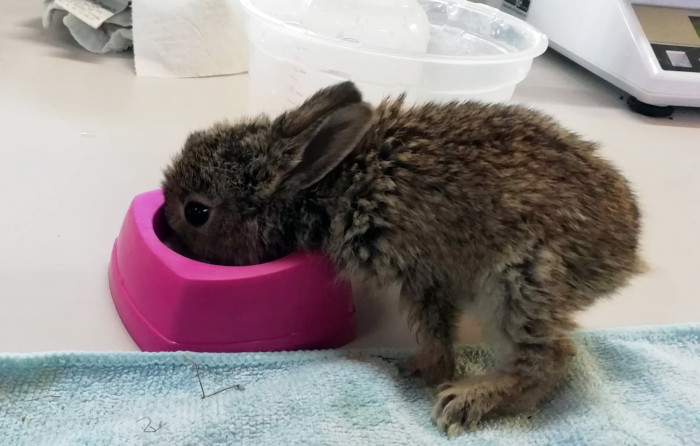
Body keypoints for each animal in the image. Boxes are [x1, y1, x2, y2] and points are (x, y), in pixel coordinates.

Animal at [161, 81, 644, 436]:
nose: (164, 227)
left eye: (196, 211)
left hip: (520, 279)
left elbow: (435, 330)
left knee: (550, 358)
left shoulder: (419, 271)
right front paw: (418, 368)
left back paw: (468, 399)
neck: (318, 189)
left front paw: (421, 370)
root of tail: (626, 253)